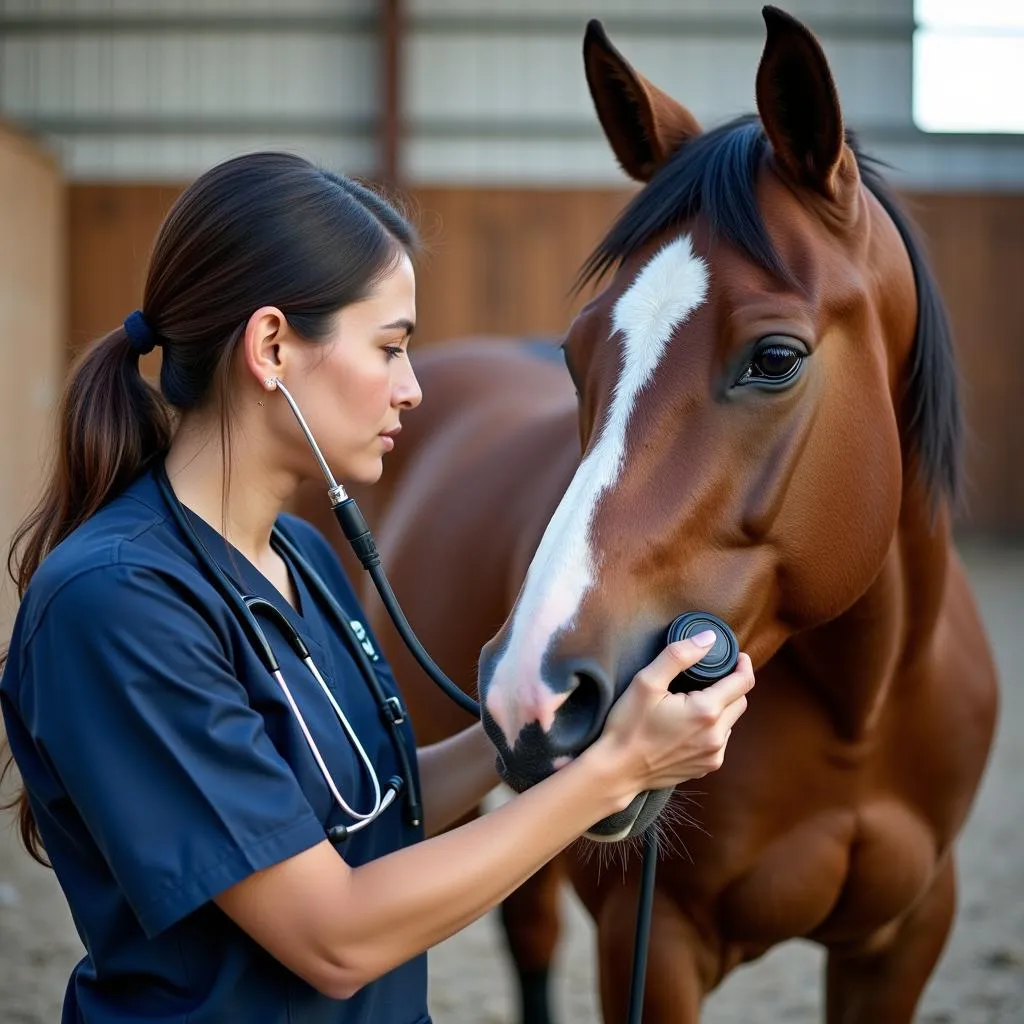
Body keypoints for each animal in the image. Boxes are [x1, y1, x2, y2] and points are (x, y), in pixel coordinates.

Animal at [299, 8, 995, 1024]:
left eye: (776, 358)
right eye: (575, 352)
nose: (532, 694)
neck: (861, 713)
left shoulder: (902, 939)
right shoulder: (652, 939)